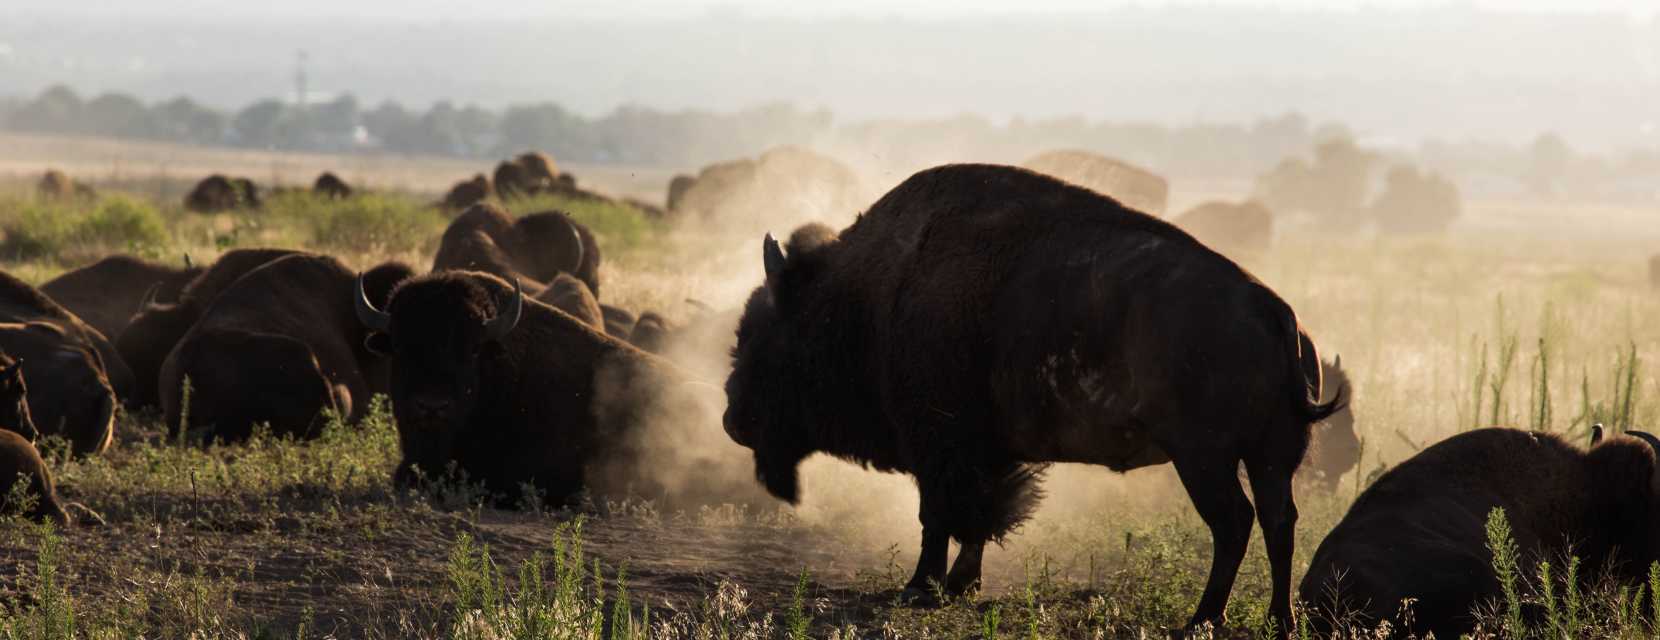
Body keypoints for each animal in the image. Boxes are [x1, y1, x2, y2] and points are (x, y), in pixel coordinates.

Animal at [723, 164, 1339, 634]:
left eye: (763, 335)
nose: (732, 418)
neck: (870, 293)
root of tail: (1276, 312)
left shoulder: (941, 449)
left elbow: (939, 518)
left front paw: (921, 588)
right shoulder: (983, 456)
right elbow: (974, 520)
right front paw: (959, 585)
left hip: (1204, 459)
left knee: (1234, 523)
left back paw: (1202, 620)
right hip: (1270, 458)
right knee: (1278, 522)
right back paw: (1276, 621)